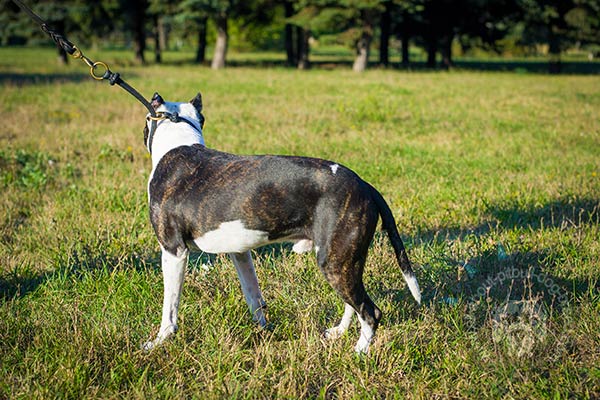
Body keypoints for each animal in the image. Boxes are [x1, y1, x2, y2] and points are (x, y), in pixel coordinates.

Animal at [142, 93, 420, 354]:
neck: (178, 139)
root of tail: (365, 185)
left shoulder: (173, 251)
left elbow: (170, 307)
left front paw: (160, 340)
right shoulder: (240, 253)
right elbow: (254, 296)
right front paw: (263, 331)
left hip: (334, 262)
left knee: (370, 312)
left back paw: (359, 353)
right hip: (347, 261)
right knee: (353, 303)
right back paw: (339, 332)